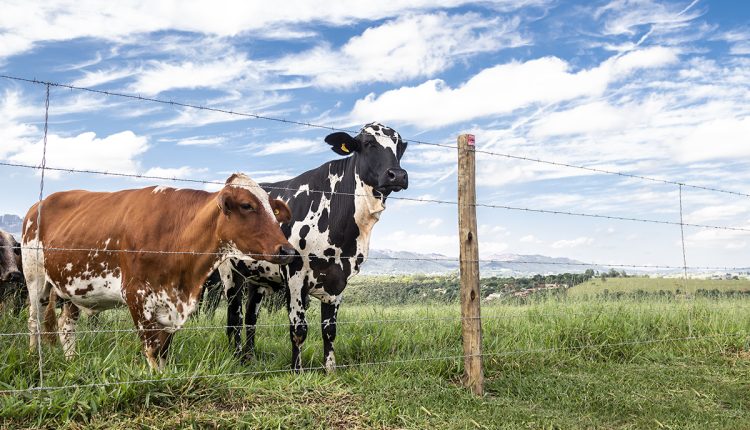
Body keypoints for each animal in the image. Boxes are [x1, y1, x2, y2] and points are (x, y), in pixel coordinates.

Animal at [22, 171, 294, 370]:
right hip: (35, 279)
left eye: (273, 209)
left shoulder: (171, 303)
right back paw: (34, 356)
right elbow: (152, 348)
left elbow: (164, 348)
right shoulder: (136, 296)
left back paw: (73, 361)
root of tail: (39, 203)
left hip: (71, 286)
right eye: (247, 205)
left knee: (66, 324)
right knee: (34, 319)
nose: (287, 250)